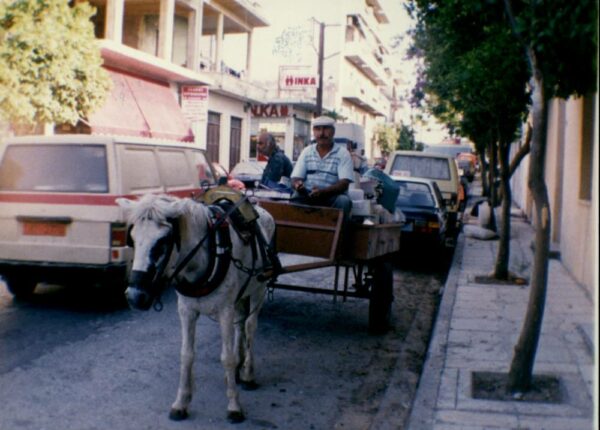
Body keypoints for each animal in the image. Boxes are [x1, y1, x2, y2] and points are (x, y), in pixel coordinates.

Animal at [116, 194, 276, 424]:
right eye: (133, 238)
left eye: (162, 242)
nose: (134, 296)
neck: (209, 254)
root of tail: (261, 208)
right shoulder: (186, 311)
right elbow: (187, 355)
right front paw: (181, 403)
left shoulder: (225, 311)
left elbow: (226, 358)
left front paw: (234, 405)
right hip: (240, 295)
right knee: (240, 325)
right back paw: (239, 367)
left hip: (258, 290)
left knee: (249, 326)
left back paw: (248, 373)